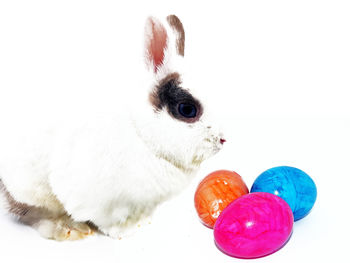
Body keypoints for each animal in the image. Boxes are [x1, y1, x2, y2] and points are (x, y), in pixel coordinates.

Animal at [0, 14, 226, 241]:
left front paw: (143, 223)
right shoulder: (97, 198)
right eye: (187, 109)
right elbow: (106, 220)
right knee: (32, 213)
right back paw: (66, 228)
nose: (222, 139)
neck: (141, 134)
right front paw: (123, 232)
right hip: (29, 189)